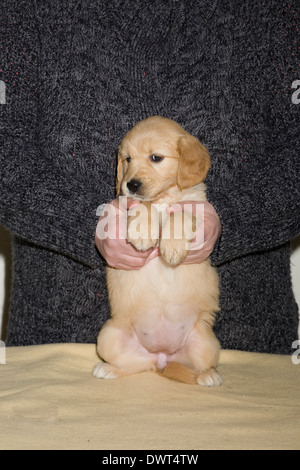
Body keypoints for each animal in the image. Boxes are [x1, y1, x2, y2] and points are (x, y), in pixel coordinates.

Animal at [94, 116, 223, 386]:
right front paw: (143, 232)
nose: (131, 184)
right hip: (108, 337)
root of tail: (162, 355)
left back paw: (209, 375)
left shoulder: (198, 207)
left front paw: (172, 245)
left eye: (156, 158)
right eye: (127, 159)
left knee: (197, 366)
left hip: (207, 343)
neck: (163, 199)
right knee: (138, 365)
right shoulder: (125, 204)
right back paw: (108, 369)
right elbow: (143, 206)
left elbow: (181, 212)